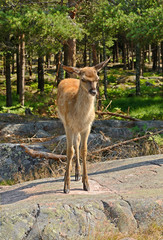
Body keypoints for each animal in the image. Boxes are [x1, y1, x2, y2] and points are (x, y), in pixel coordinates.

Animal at [56, 58, 110, 193]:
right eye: (84, 79)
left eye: (97, 78)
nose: (94, 91)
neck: (80, 116)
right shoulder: (68, 125)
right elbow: (69, 151)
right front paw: (66, 186)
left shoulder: (87, 126)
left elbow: (84, 150)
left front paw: (86, 184)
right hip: (65, 122)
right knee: (73, 146)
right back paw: (69, 174)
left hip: (77, 129)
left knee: (77, 142)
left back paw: (77, 173)